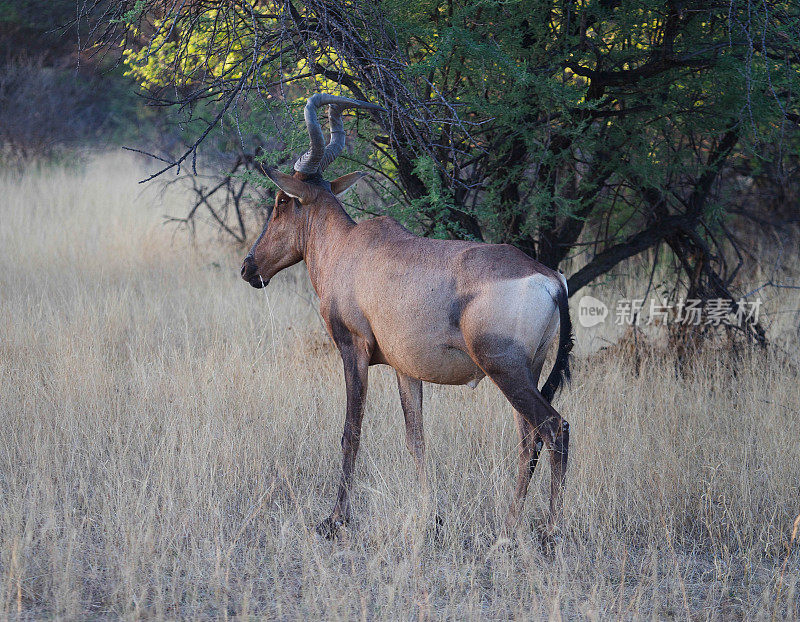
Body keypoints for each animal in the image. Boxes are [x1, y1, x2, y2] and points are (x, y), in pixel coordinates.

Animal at [241, 94, 572, 540]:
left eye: (280, 201)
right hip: (529, 369)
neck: (350, 246)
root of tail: (551, 278)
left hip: (505, 370)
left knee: (554, 429)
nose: (249, 268)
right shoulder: (405, 368)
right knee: (528, 438)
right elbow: (416, 438)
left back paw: (548, 532)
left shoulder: (353, 349)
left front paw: (334, 520)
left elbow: (351, 431)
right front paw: (431, 517)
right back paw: (508, 525)